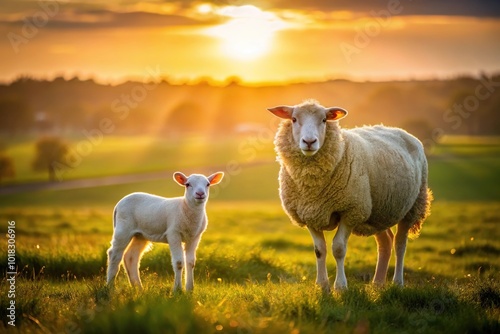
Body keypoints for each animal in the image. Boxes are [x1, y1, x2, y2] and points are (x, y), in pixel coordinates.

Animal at [268, 100, 432, 292]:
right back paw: (377, 284)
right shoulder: (310, 214)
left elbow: (339, 248)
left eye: (324, 120)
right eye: (294, 119)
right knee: (386, 242)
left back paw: (397, 282)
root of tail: (401, 131)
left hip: (412, 205)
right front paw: (322, 286)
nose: (309, 141)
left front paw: (340, 286)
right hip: (378, 212)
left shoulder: (351, 210)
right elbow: (319, 250)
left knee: (400, 244)